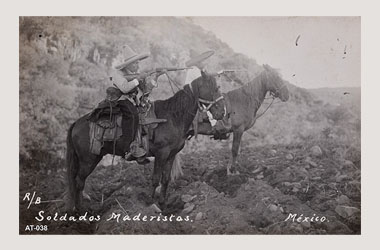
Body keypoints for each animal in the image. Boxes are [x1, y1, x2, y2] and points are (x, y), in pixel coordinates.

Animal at [66, 71, 226, 212]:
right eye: (215, 88)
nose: (222, 112)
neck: (173, 116)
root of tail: (77, 123)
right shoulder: (161, 154)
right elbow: (155, 178)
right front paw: (150, 201)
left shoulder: (171, 155)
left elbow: (165, 179)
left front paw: (163, 205)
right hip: (89, 159)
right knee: (79, 182)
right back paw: (80, 209)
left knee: (76, 181)